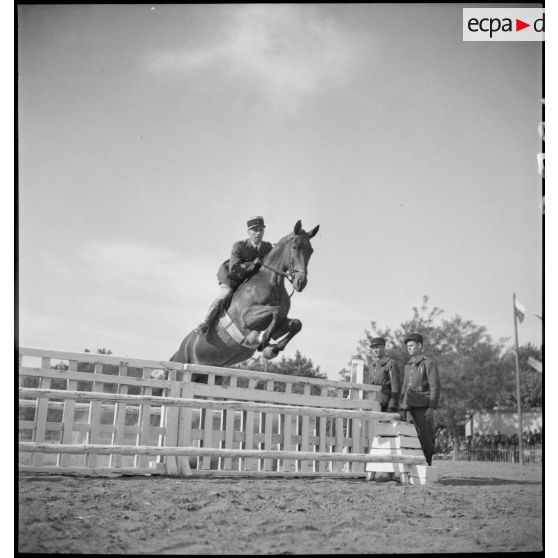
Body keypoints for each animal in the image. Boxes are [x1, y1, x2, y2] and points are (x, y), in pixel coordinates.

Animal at [170, 221, 320, 370]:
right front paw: (263, 340)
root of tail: (179, 351)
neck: (271, 281)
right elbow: (275, 311)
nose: (301, 282)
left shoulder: (281, 322)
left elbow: (296, 323)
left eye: (311, 250)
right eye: (294, 247)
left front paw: (274, 348)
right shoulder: (246, 318)